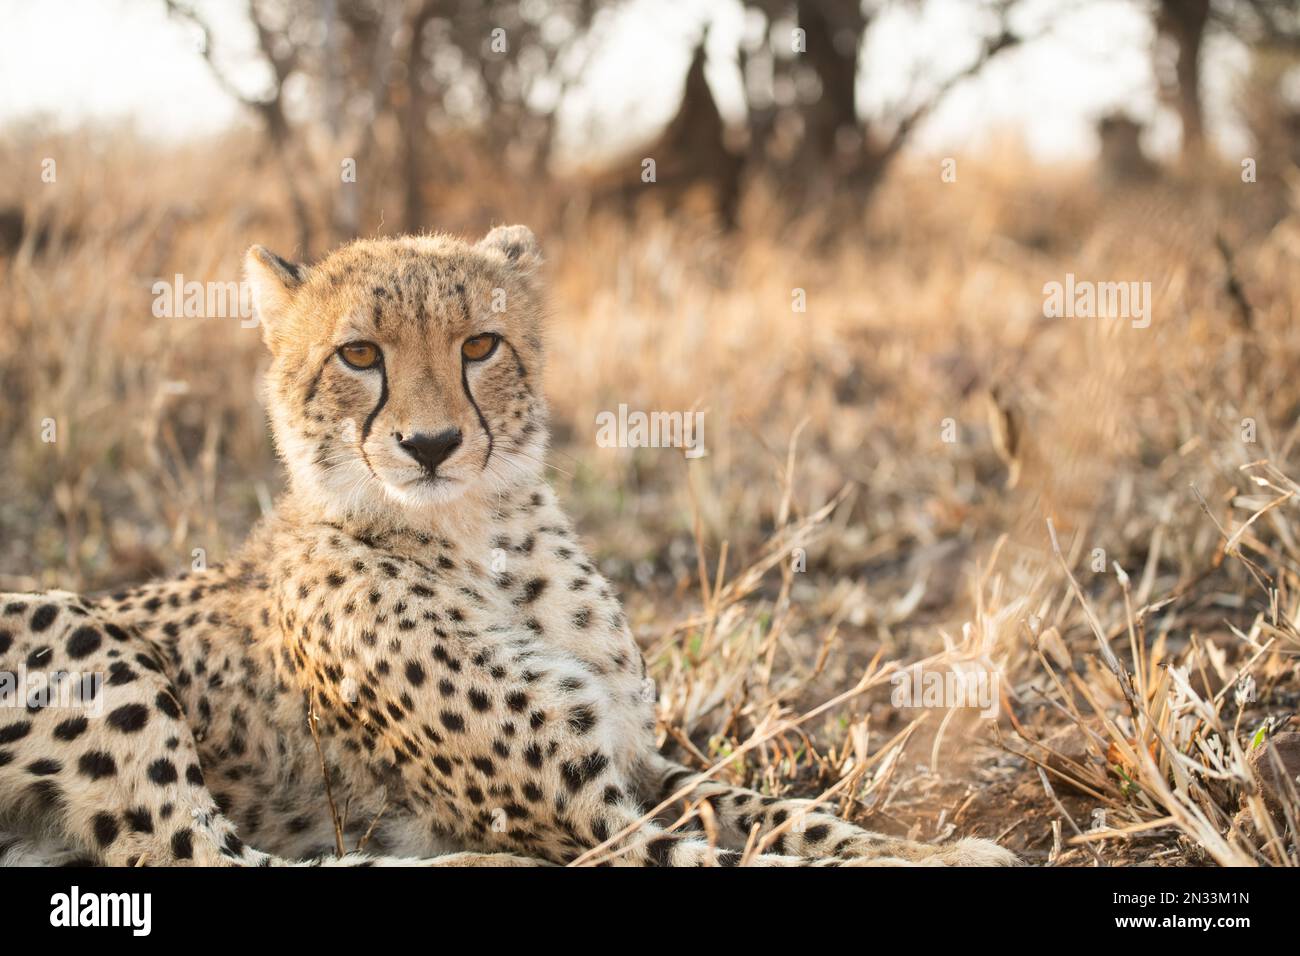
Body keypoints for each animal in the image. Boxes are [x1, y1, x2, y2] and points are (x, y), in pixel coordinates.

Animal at [0, 226, 1013, 868]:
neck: (484, 542)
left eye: (480, 345)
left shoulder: (638, 765)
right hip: (77, 625)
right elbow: (752, 861)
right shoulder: (592, 821)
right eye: (359, 356)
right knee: (200, 856)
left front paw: (931, 849)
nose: (431, 444)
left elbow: (790, 819)